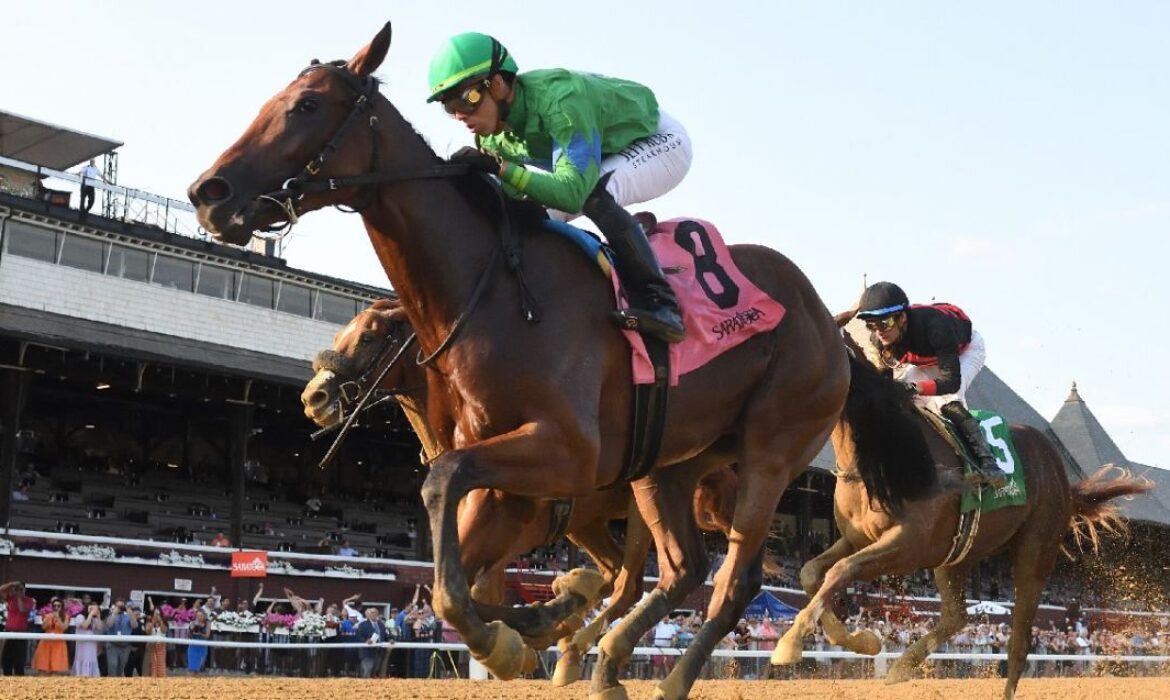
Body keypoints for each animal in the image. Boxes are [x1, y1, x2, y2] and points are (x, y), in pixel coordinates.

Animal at [301, 298, 734, 683]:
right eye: (341, 334)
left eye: (368, 337)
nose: (313, 397)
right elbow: (466, 599)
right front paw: (540, 625)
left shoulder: (499, 541)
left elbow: (470, 598)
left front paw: (533, 629)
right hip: (589, 524)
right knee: (614, 572)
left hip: (646, 508)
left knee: (631, 583)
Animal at [772, 337, 1146, 700]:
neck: (885, 452)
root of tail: (1064, 477)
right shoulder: (857, 538)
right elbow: (812, 573)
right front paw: (861, 640)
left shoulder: (908, 544)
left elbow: (841, 569)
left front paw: (790, 643)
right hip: (957, 552)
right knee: (957, 616)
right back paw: (902, 667)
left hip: (1036, 547)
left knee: (1019, 640)